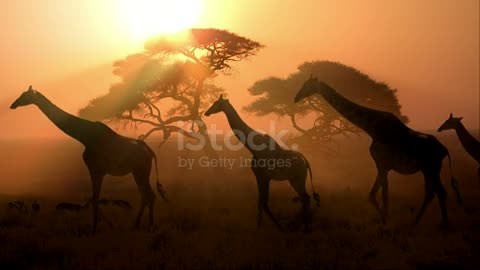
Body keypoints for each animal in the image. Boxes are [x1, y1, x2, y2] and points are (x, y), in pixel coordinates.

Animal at [10, 86, 168, 232]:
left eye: (25, 95)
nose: (13, 105)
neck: (85, 137)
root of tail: (150, 151)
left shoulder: (95, 169)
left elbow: (95, 198)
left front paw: (95, 228)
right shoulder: (97, 170)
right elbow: (94, 198)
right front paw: (105, 225)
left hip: (141, 170)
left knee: (149, 195)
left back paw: (150, 226)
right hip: (137, 171)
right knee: (145, 195)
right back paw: (136, 224)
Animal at [203, 94, 318, 230]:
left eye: (216, 103)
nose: (206, 112)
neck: (253, 147)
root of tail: (305, 161)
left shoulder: (263, 176)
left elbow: (263, 203)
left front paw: (272, 227)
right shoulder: (261, 177)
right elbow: (261, 203)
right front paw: (263, 227)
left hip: (297, 179)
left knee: (305, 198)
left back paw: (302, 225)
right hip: (295, 180)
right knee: (305, 198)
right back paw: (302, 224)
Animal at [292, 77, 462, 227]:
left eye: (307, 85)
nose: (295, 98)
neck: (371, 128)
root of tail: (444, 149)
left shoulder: (382, 164)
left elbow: (374, 195)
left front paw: (386, 220)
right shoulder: (384, 166)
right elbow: (381, 194)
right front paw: (386, 218)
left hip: (431, 168)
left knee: (439, 192)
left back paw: (441, 224)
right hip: (428, 170)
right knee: (433, 193)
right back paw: (419, 222)